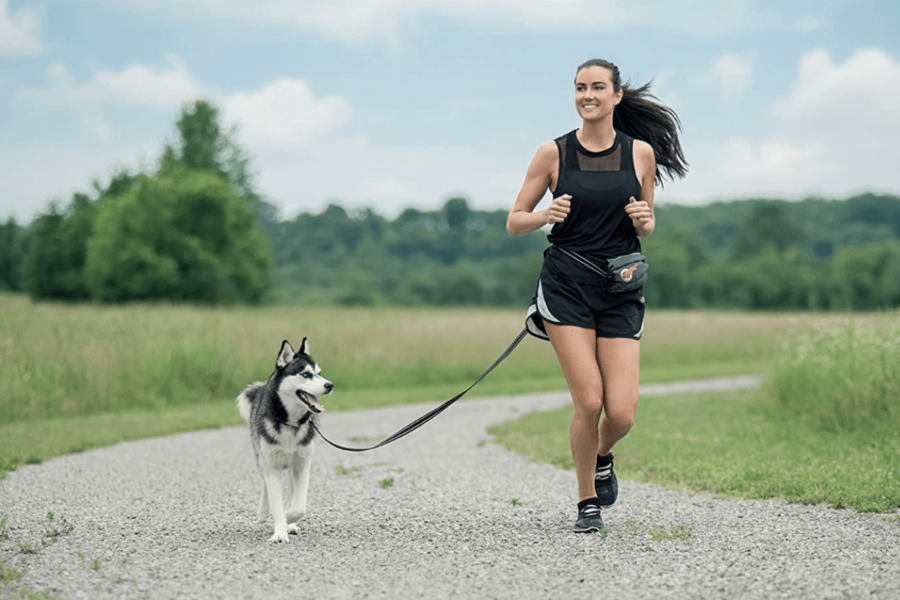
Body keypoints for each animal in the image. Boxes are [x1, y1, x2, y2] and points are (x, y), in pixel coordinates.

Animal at [236, 338, 334, 544]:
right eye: (306, 374)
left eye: (320, 373)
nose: (330, 385)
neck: (291, 423)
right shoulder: (271, 466)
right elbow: (275, 500)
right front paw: (279, 530)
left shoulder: (302, 465)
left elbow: (299, 506)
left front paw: (289, 519)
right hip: (261, 460)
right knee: (265, 484)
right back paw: (263, 512)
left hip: (291, 466)